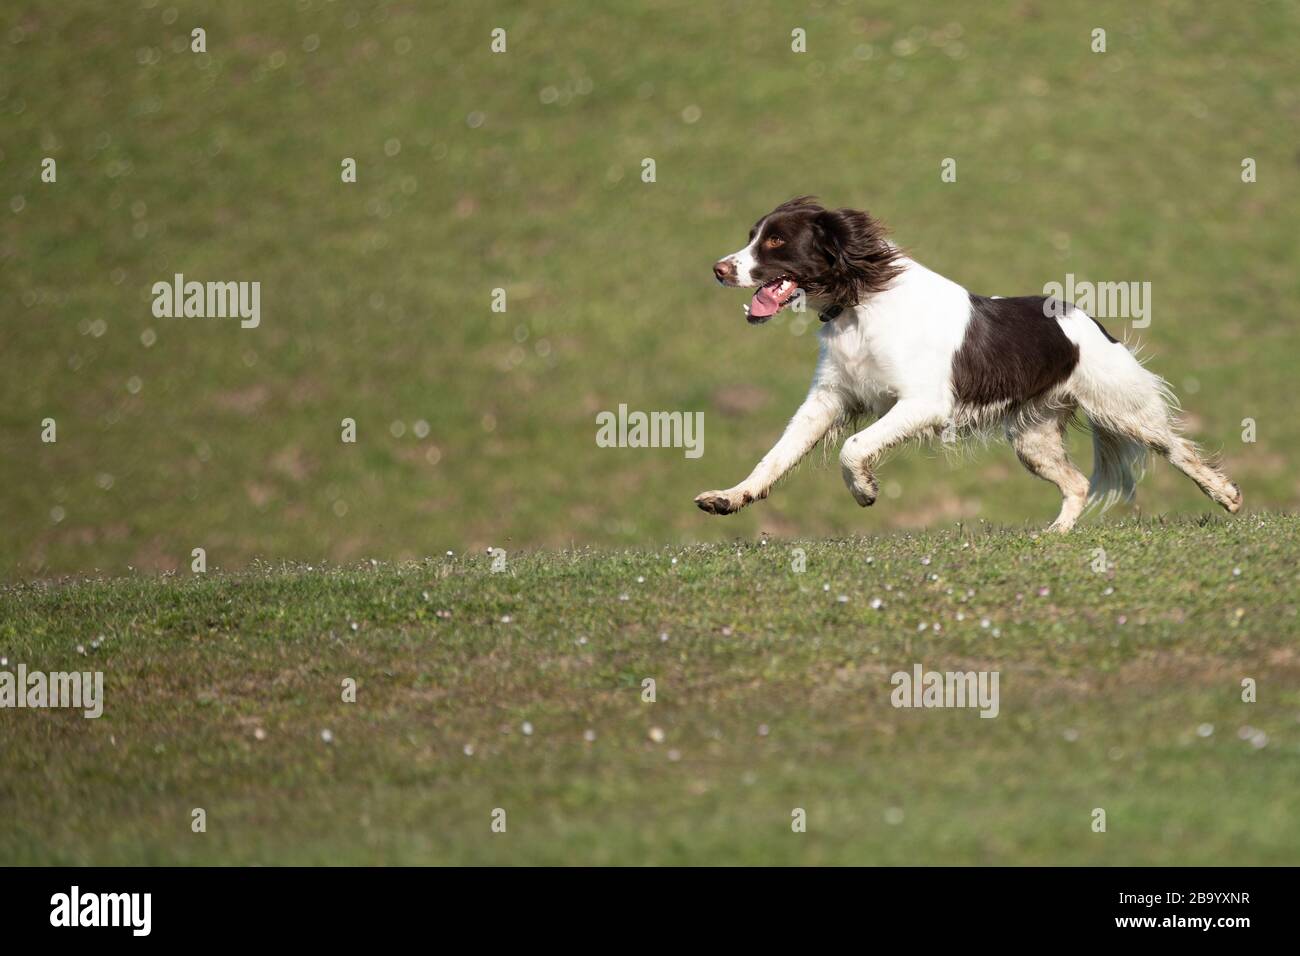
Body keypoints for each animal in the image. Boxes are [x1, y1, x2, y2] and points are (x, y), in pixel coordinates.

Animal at [696, 197, 1242, 535]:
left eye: (775, 242)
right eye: (752, 236)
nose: (718, 269)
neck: (860, 301)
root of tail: (1088, 318)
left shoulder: (923, 403)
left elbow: (853, 448)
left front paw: (865, 491)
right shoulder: (827, 399)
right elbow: (776, 456)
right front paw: (729, 497)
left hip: (1121, 405)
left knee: (1176, 448)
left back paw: (1227, 495)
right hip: (1033, 438)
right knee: (1078, 483)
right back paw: (1054, 534)